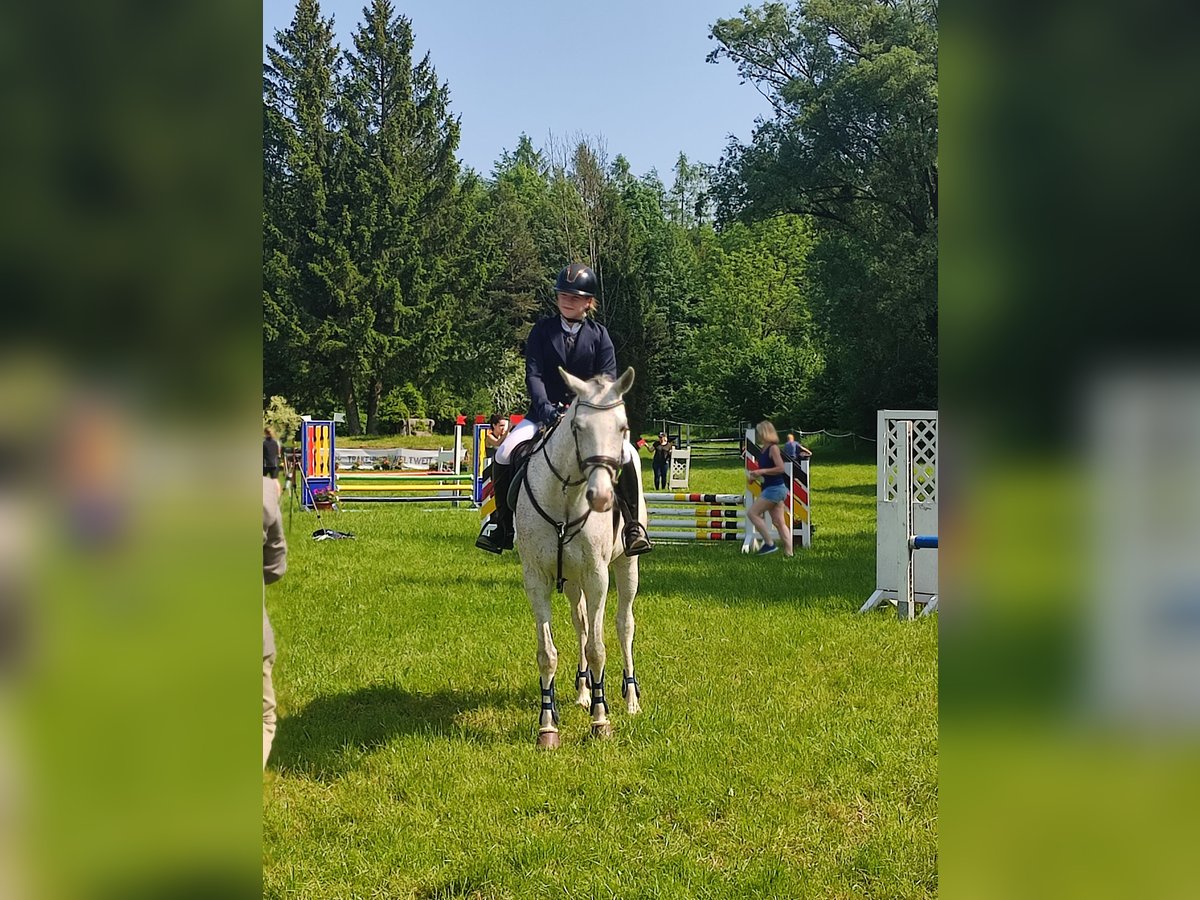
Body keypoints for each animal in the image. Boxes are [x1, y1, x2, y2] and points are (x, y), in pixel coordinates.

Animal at [512, 367, 645, 749]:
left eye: (622, 427)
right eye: (578, 426)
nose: (600, 497)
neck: (567, 497)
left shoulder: (598, 576)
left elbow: (599, 647)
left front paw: (601, 722)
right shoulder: (536, 579)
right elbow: (548, 652)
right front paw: (547, 726)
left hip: (626, 567)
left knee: (623, 625)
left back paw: (631, 701)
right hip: (571, 580)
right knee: (581, 624)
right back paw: (584, 692)